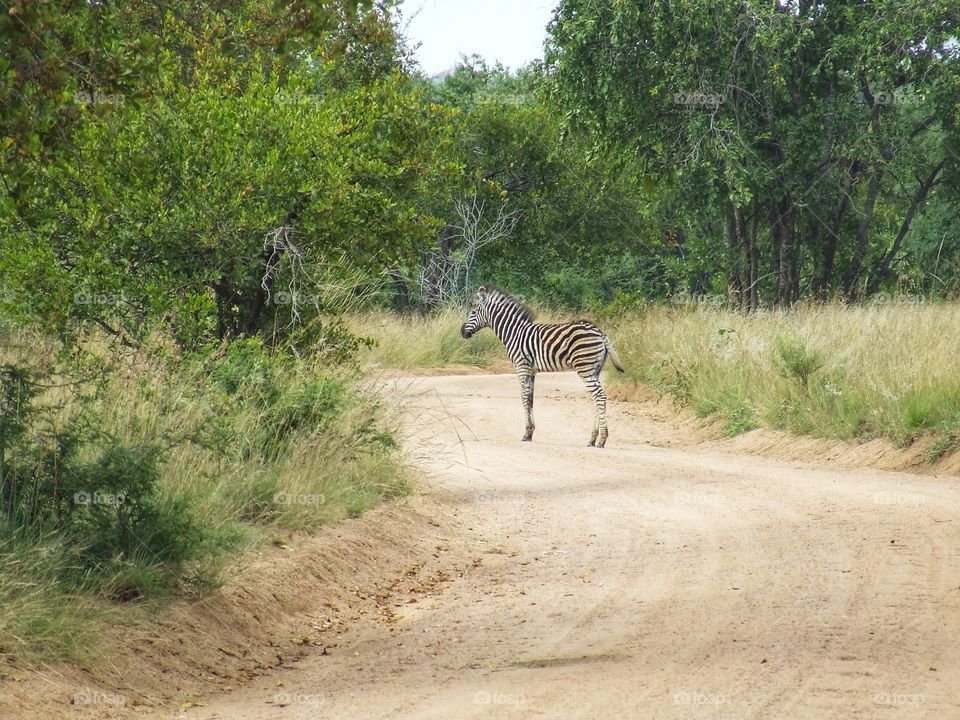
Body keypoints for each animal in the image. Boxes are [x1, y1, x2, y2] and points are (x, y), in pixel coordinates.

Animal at [459, 286, 625, 447]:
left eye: (473, 312)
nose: (462, 332)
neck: (514, 333)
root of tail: (600, 332)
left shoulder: (522, 367)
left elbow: (524, 398)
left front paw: (526, 433)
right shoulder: (532, 371)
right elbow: (531, 398)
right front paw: (531, 432)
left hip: (585, 368)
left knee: (600, 396)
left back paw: (602, 439)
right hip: (595, 369)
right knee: (598, 397)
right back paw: (592, 439)